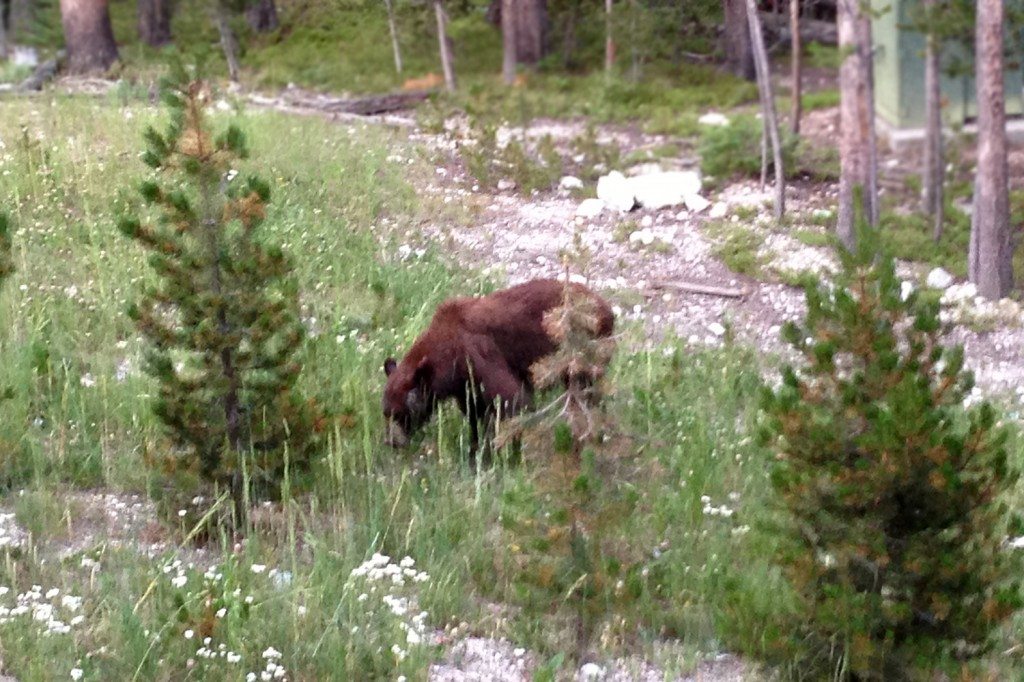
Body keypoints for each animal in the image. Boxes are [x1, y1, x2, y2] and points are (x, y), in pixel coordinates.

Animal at [380, 276, 610, 462]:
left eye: (402, 413)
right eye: (386, 413)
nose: (392, 442)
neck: (447, 352)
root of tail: (605, 305)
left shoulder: (479, 355)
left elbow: (512, 400)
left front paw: (507, 454)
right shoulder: (464, 383)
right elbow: (473, 411)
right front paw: (474, 451)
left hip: (582, 351)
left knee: (586, 392)